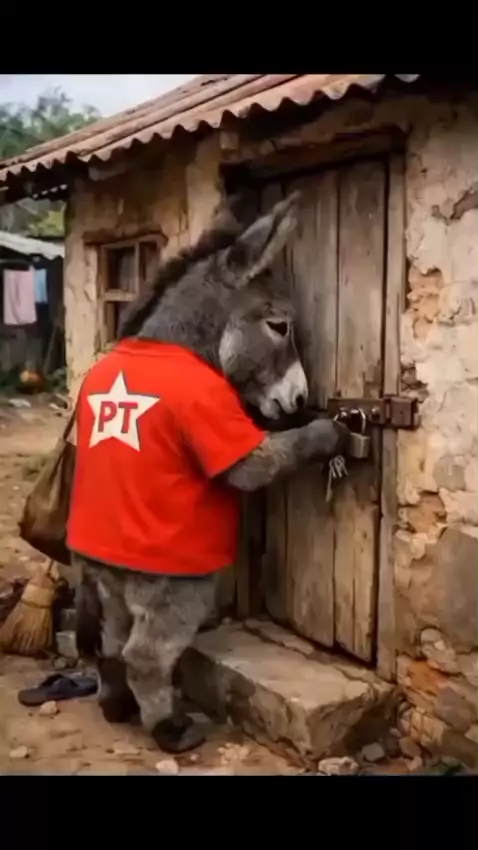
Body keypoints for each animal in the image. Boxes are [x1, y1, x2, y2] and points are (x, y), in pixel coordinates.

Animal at [71, 190, 349, 754]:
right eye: (279, 326)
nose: (299, 401)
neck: (173, 342)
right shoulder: (216, 422)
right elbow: (258, 464)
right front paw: (328, 432)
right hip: (180, 587)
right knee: (145, 654)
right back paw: (170, 730)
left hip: (108, 581)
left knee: (111, 640)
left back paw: (114, 705)